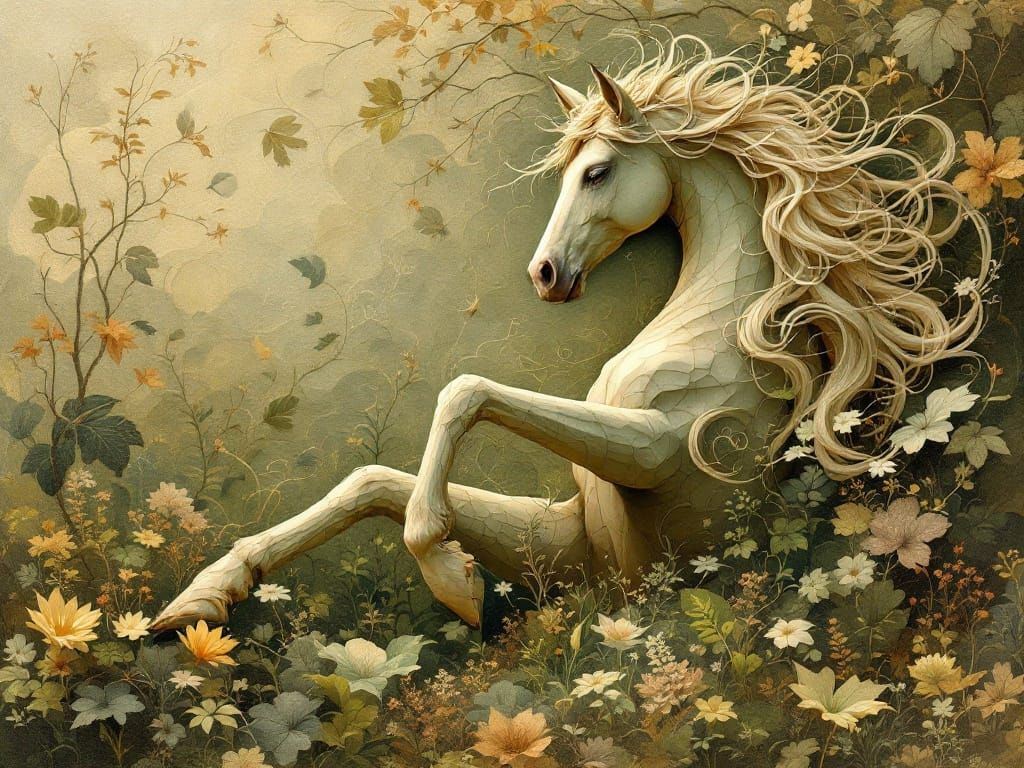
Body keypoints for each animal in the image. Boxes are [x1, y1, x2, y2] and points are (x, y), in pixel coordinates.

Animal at [152, 35, 990, 631]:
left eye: (596, 172)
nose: (544, 274)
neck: (722, 328)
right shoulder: (582, 553)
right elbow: (372, 482)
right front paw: (201, 598)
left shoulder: (654, 451)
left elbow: (466, 391)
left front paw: (452, 581)